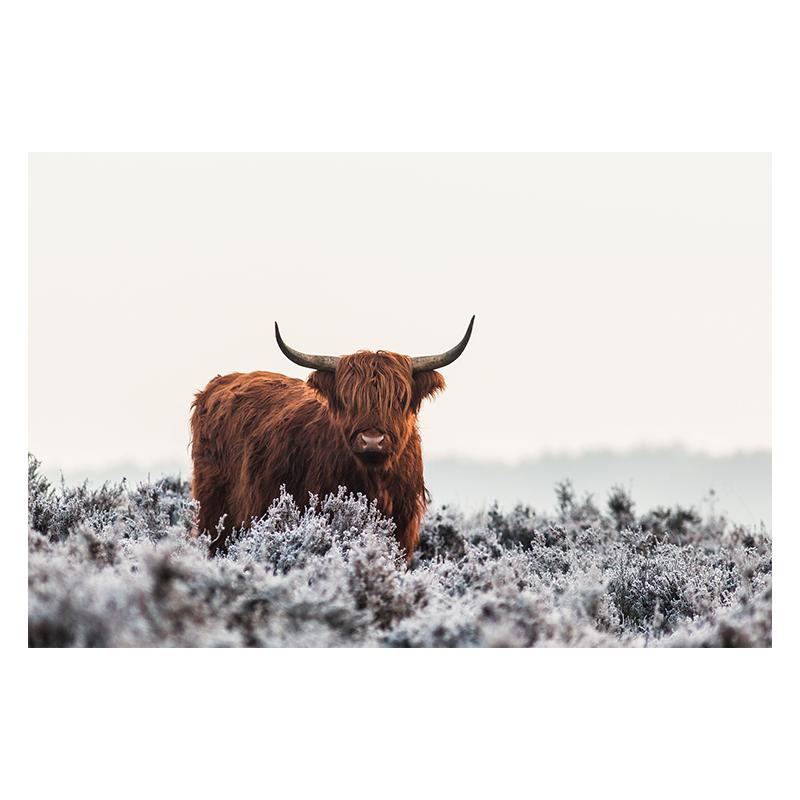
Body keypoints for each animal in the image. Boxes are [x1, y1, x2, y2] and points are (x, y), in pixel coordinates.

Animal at [190, 317, 474, 561]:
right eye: (348, 398)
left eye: (399, 398)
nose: (372, 440)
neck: (375, 479)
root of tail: (219, 383)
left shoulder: (403, 527)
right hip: (213, 508)